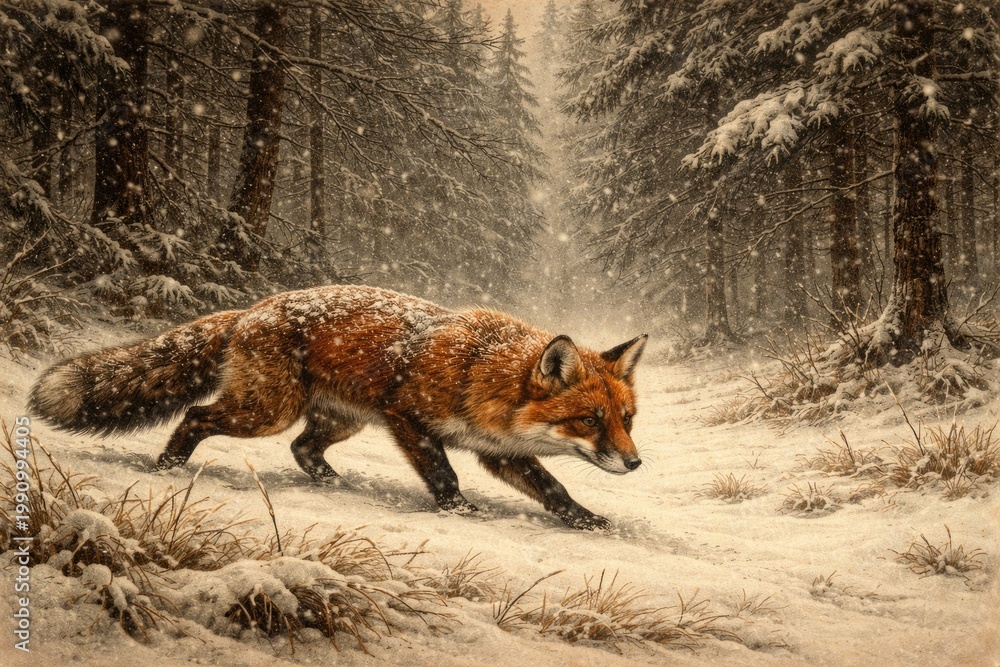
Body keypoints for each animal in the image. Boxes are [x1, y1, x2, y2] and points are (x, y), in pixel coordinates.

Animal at [29, 285, 647, 530]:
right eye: (589, 420)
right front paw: (460, 512)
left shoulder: (499, 452)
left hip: (339, 420)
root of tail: (251, 308)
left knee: (302, 448)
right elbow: (444, 476)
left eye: (626, 420)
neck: (479, 372)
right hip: (267, 410)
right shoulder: (408, 420)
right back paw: (169, 467)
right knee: (197, 417)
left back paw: (331, 482)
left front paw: (586, 520)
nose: (636, 463)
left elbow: (554, 489)